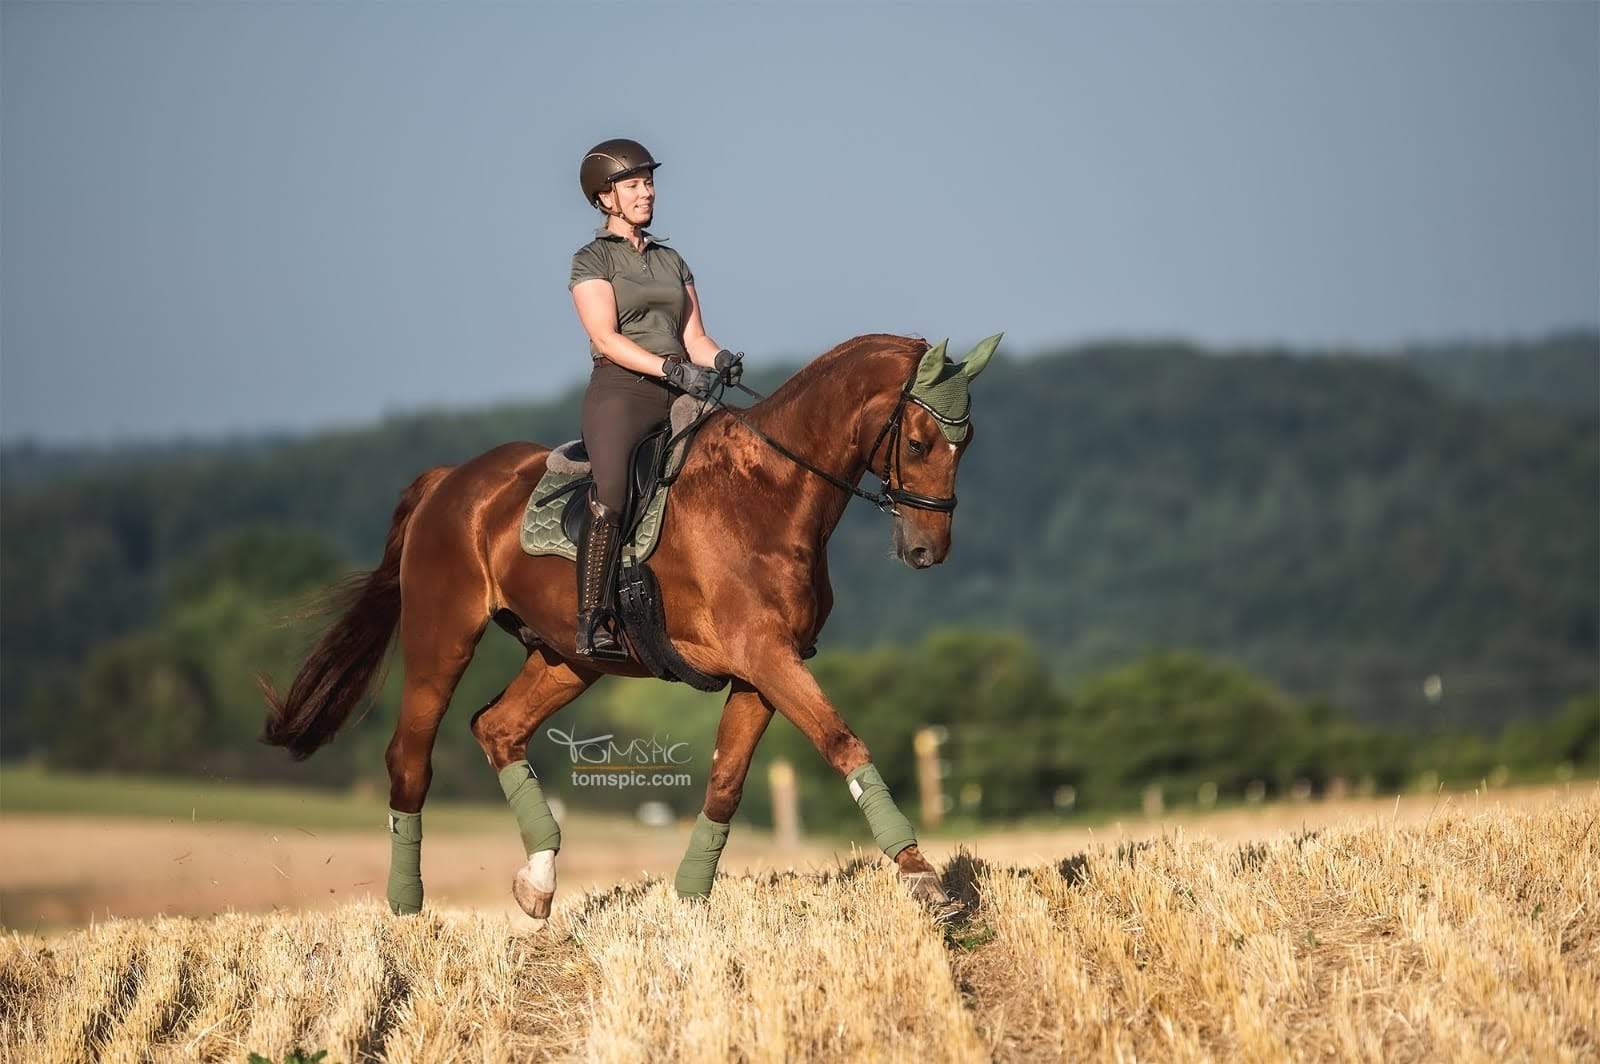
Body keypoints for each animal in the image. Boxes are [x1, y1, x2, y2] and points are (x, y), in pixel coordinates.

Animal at [259, 330, 999, 921]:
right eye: (918, 441)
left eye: (967, 443)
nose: (928, 551)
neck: (770, 490)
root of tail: (448, 481)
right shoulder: (765, 655)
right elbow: (843, 742)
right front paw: (924, 880)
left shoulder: (767, 667)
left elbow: (726, 782)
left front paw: (688, 901)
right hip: (443, 639)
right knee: (409, 759)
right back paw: (405, 913)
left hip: (569, 658)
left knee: (498, 728)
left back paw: (538, 881)